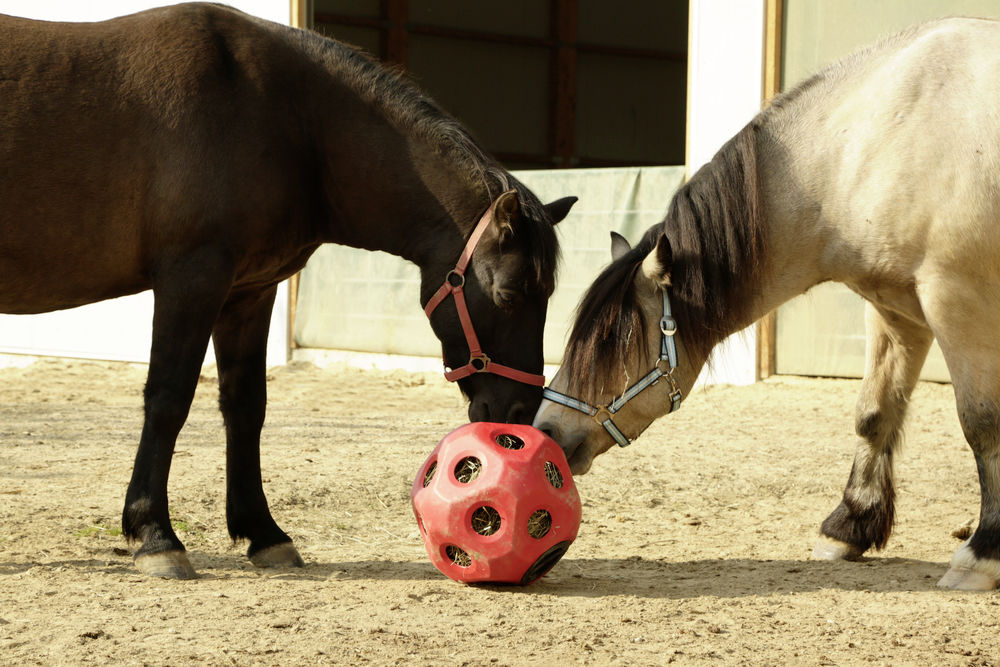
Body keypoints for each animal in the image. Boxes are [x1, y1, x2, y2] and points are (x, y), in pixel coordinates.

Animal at [0, 2, 576, 580]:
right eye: (508, 295)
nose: (520, 414)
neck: (286, 118)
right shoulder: (192, 278)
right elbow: (168, 399)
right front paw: (155, 535)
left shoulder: (248, 293)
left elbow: (246, 405)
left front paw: (264, 533)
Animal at [536, 17, 1000, 588]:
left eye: (612, 343)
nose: (546, 430)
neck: (873, 140)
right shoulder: (895, 311)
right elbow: (874, 413)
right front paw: (848, 526)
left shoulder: (956, 302)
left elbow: (981, 424)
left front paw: (982, 553)